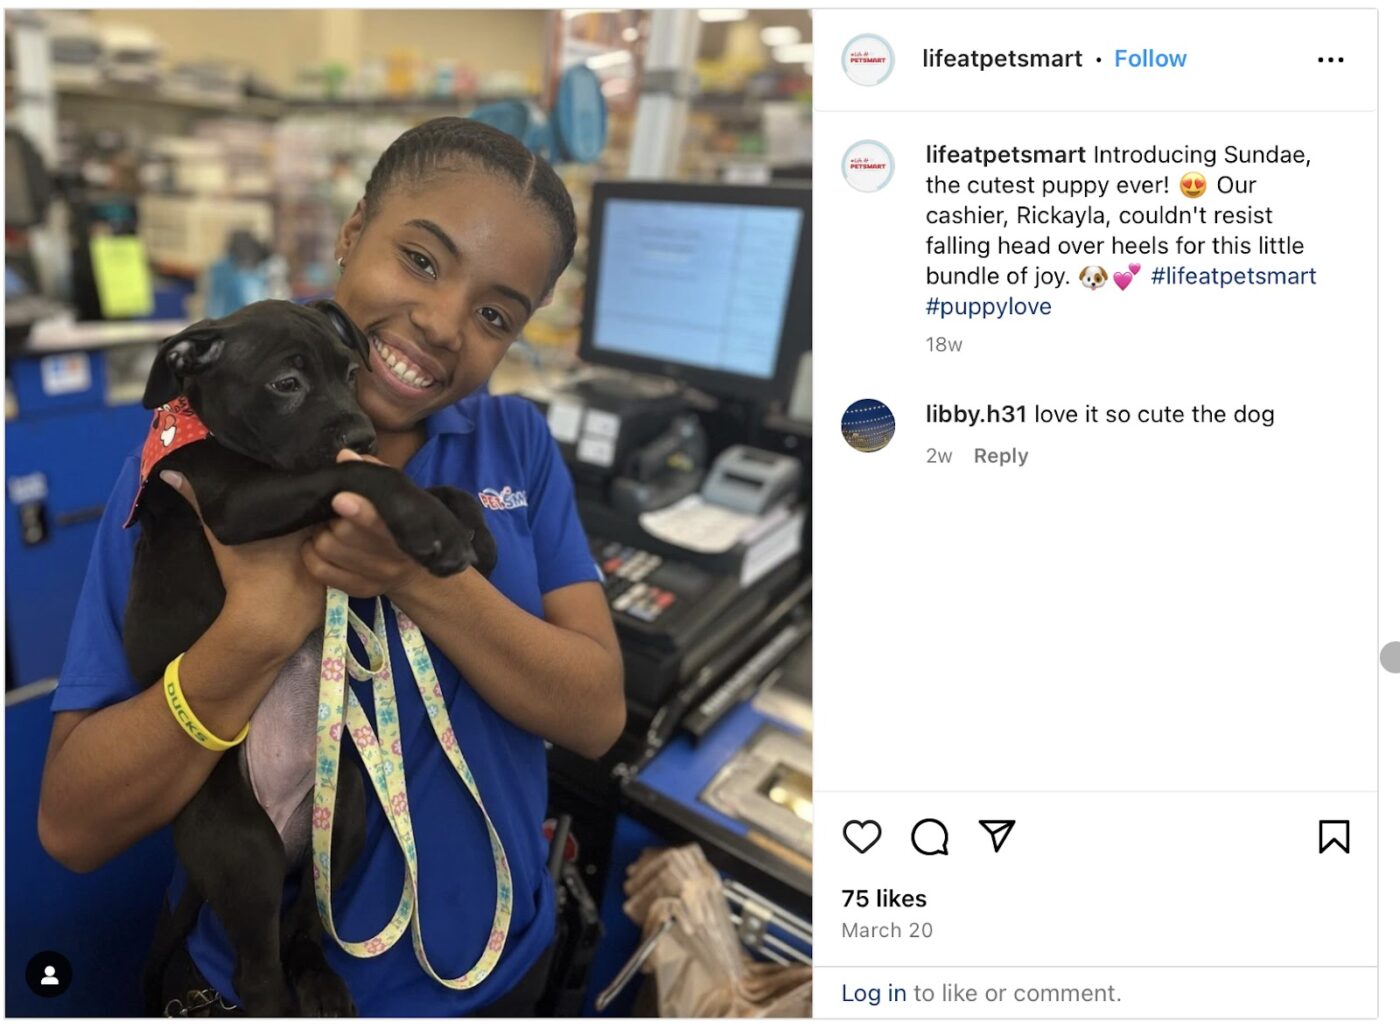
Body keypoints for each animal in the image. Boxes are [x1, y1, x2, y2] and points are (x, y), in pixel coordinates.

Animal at [127, 302, 498, 1019]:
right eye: (285, 384)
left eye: (352, 372)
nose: (364, 432)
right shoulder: (235, 504)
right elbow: (354, 474)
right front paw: (429, 525)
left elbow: (427, 481)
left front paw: (472, 529)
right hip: (244, 847)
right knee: (257, 971)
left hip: (347, 810)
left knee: (305, 918)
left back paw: (322, 981)